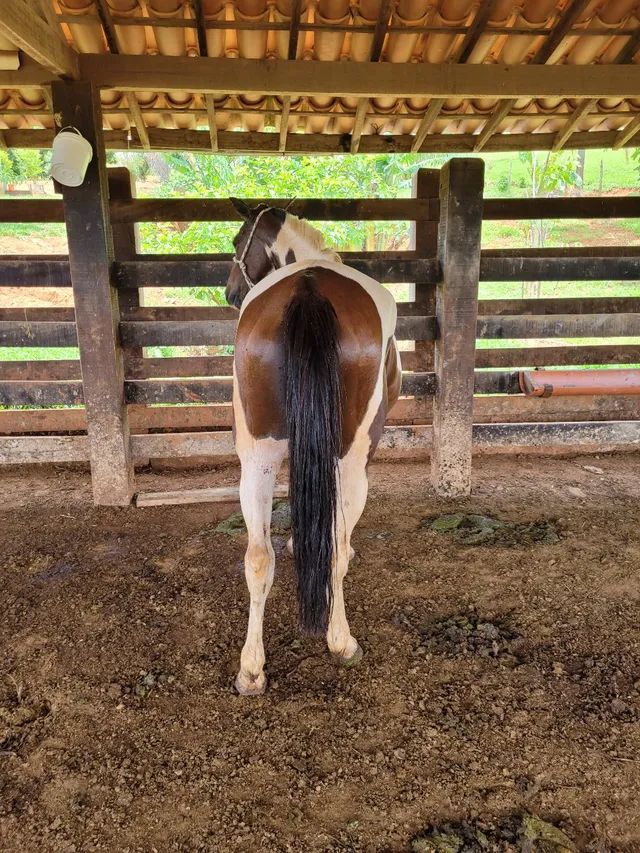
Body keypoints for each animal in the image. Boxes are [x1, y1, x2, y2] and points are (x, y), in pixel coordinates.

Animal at [226, 203, 400, 696]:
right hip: (353, 460)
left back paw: (251, 670)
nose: (230, 293)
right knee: (336, 552)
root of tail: (309, 289)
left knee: (257, 557)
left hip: (257, 457)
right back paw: (342, 642)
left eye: (236, 241)